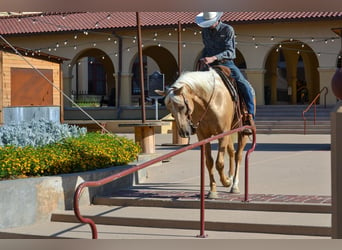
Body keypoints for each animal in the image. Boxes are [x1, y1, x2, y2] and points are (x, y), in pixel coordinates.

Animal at [156, 67, 251, 198]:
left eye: (181, 106)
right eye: (170, 110)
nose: (184, 132)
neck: (210, 102)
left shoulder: (222, 134)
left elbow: (219, 163)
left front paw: (226, 182)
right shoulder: (204, 136)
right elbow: (209, 162)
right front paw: (213, 190)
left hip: (242, 132)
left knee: (238, 155)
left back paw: (234, 185)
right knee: (231, 152)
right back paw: (230, 176)